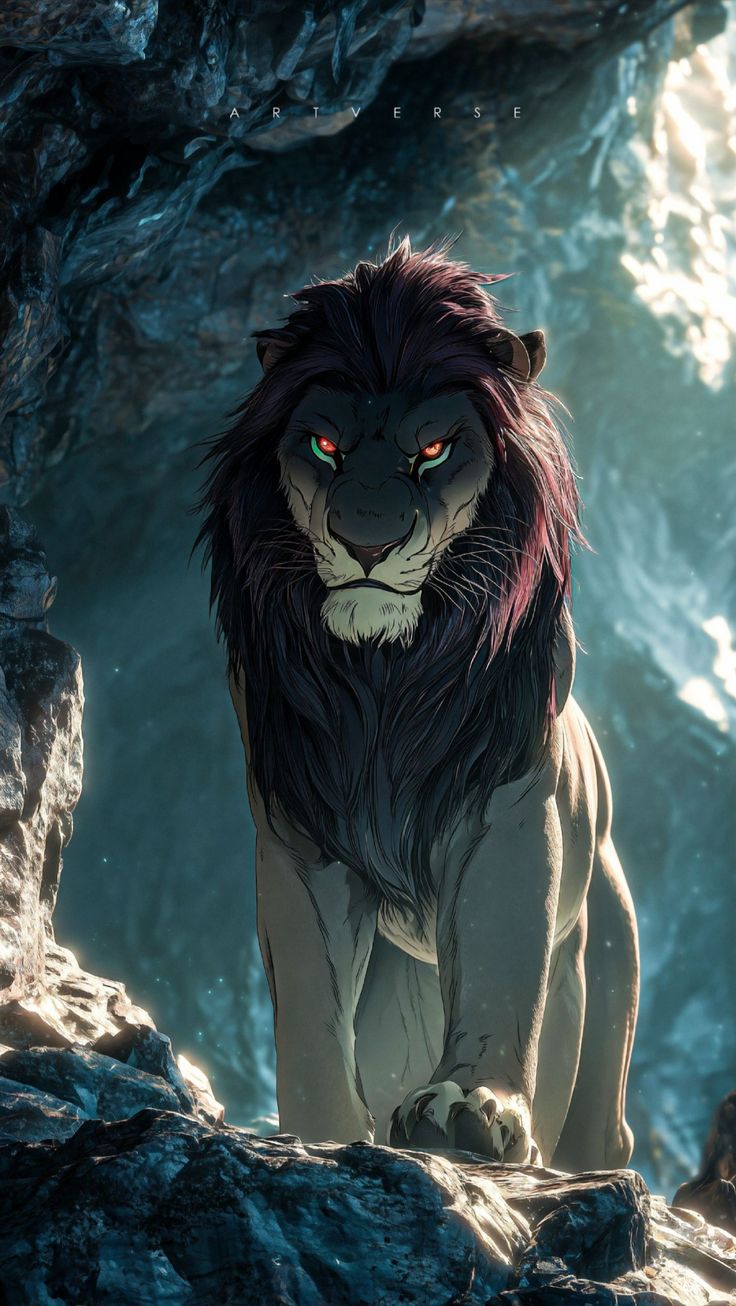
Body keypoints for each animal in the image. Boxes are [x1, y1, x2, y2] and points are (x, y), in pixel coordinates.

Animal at [198, 237, 640, 1170]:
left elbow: (504, 955)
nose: (366, 541)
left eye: (433, 450)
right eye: (324, 443)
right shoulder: (300, 831)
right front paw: (320, 1134)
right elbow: (310, 1005)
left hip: (605, 957)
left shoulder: (513, 803)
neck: (387, 682)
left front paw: (472, 1107)